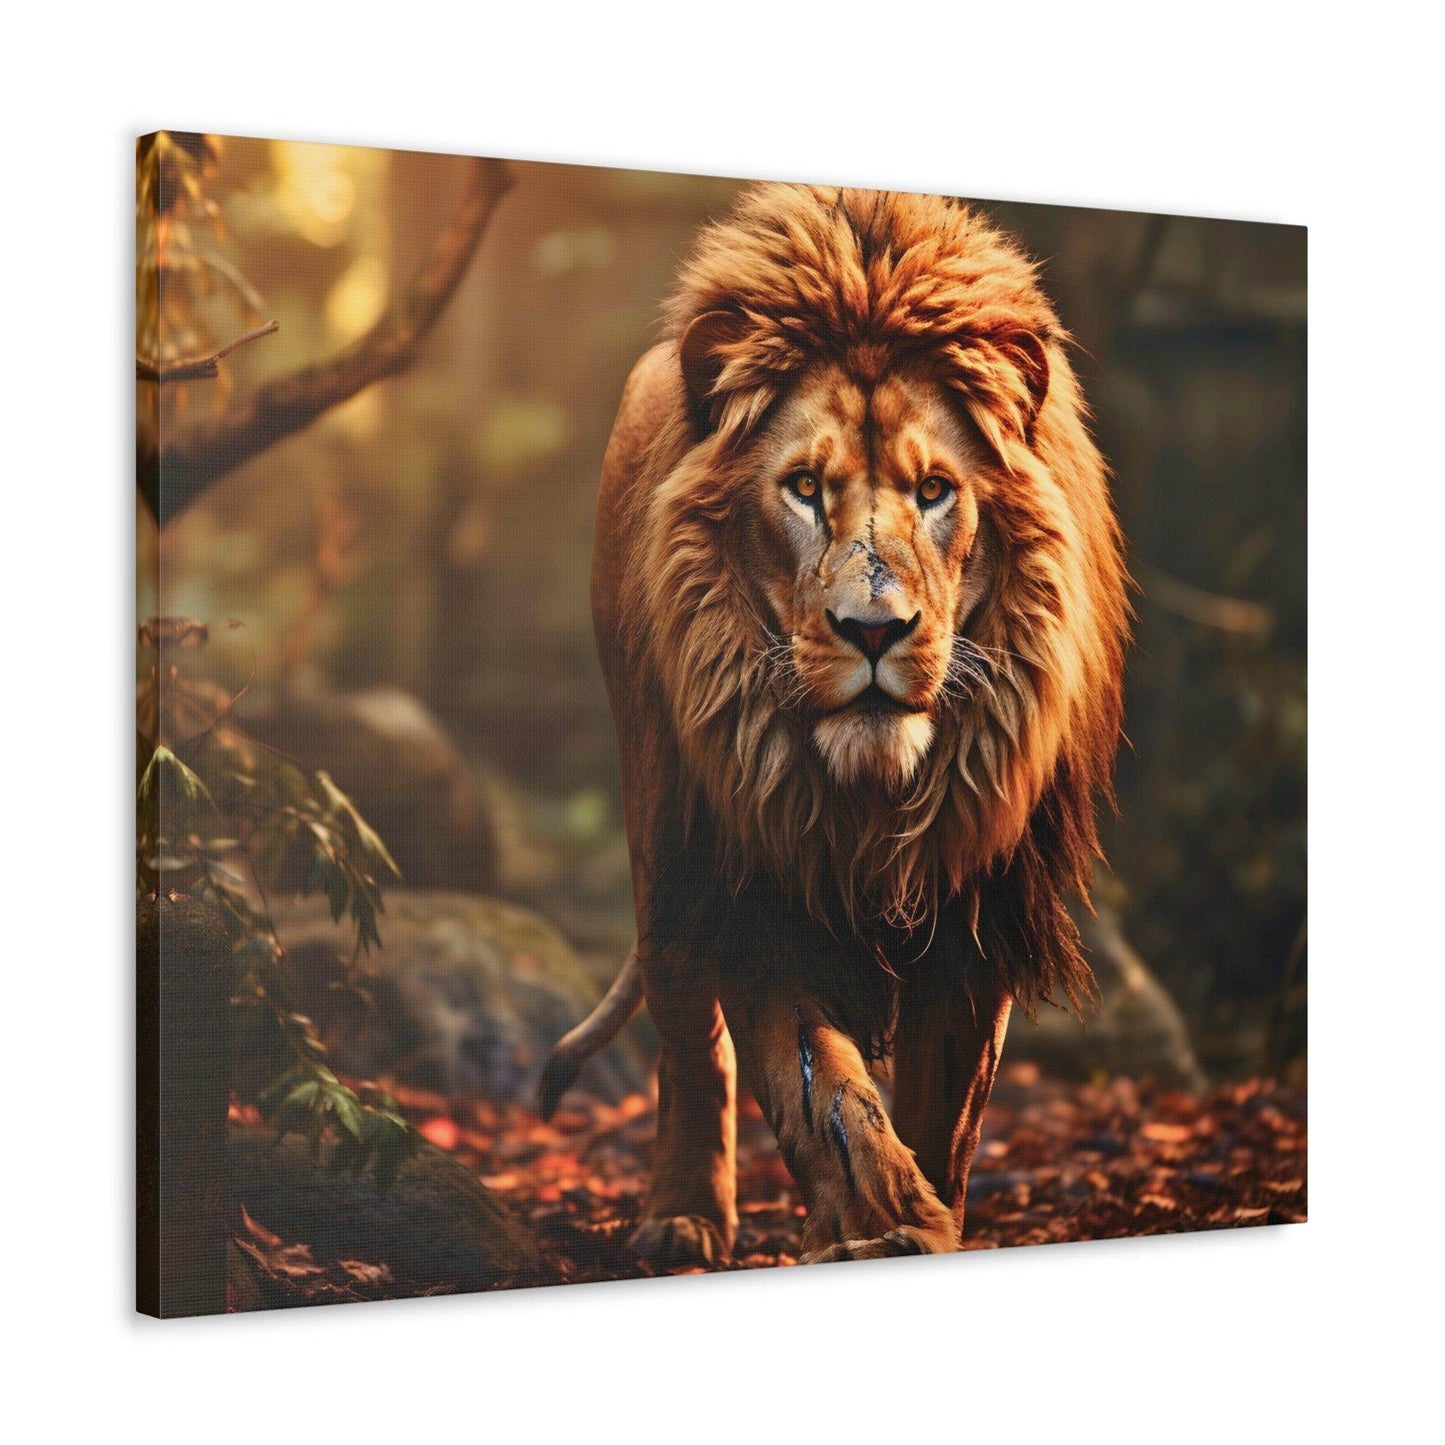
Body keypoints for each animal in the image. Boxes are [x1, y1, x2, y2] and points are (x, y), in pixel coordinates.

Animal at [539, 184, 1130, 1268]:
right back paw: (682, 1214)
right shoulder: (756, 883)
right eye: (804, 488)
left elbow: (944, 1112)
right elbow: (820, 1092)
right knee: (687, 1030)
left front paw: (922, 1216)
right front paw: (881, 1220)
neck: (875, 798)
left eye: (934, 490)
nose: (872, 629)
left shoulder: (974, 912)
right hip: (661, 824)